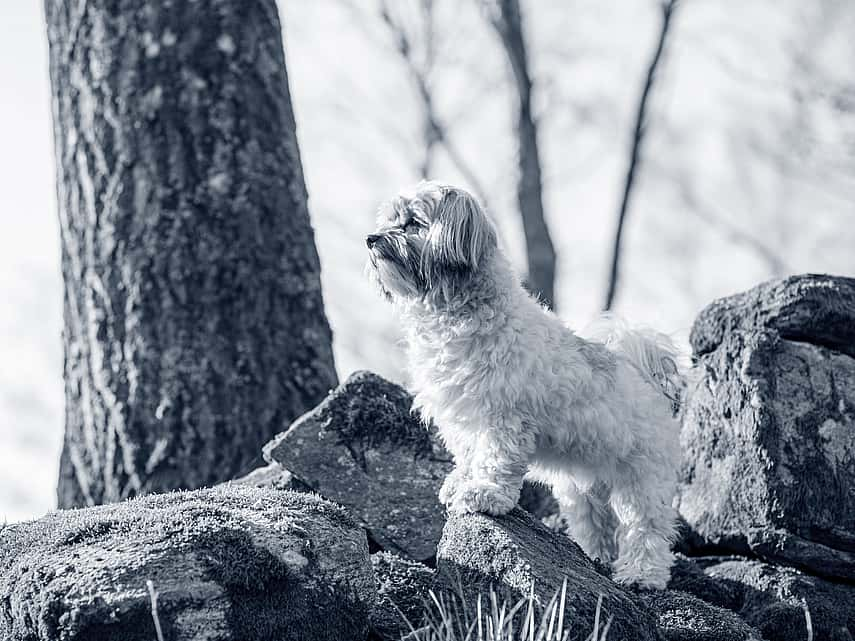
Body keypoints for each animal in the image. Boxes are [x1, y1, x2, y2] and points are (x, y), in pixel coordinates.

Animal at [364, 181, 684, 592]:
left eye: (413, 223)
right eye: (388, 219)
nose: (371, 239)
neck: (456, 313)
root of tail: (649, 379)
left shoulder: (503, 417)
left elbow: (494, 461)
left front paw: (484, 494)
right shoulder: (463, 417)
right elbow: (469, 456)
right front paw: (461, 483)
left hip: (641, 480)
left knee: (645, 530)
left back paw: (641, 576)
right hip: (583, 490)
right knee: (596, 526)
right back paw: (596, 559)